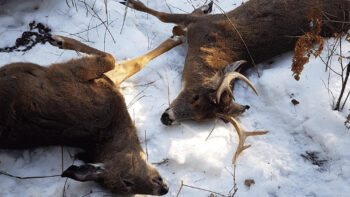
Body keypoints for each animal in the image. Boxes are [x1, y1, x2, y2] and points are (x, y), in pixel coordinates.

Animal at [0, 35, 178, 195]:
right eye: (127, 182)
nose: (164, 189)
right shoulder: (76, 72)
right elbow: (115, 59)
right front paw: (59, 39)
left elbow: (130, 63)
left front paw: (177, 38)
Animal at [119, 0, 348, 163]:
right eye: (195, 97)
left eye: (200, 120)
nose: (167, 118)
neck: (211, 47)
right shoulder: (203, 24)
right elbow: (164, 16)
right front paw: (128, 2)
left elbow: (170, 21)